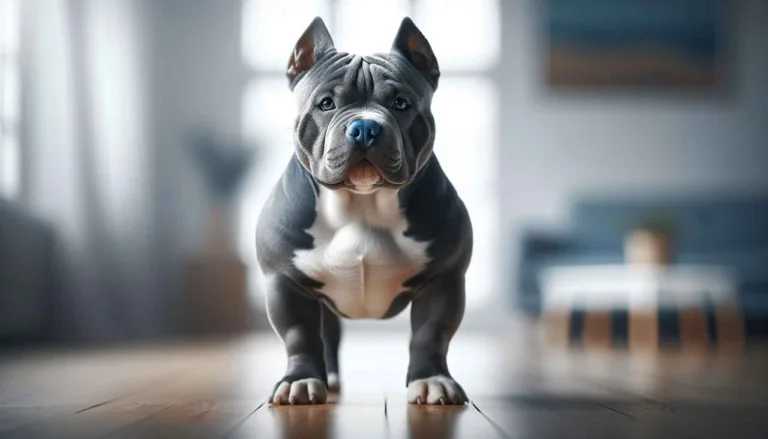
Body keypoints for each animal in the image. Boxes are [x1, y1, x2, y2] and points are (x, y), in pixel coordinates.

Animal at [258, 18, 472, 410]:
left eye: (401, 103)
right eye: (326, 103)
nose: (365, 127)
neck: (362, 203)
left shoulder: (445, 280)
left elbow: (431, 334)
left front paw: (431, 381)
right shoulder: (285, 282)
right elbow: (299, 336)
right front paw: (300, 381)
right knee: (326, 335)